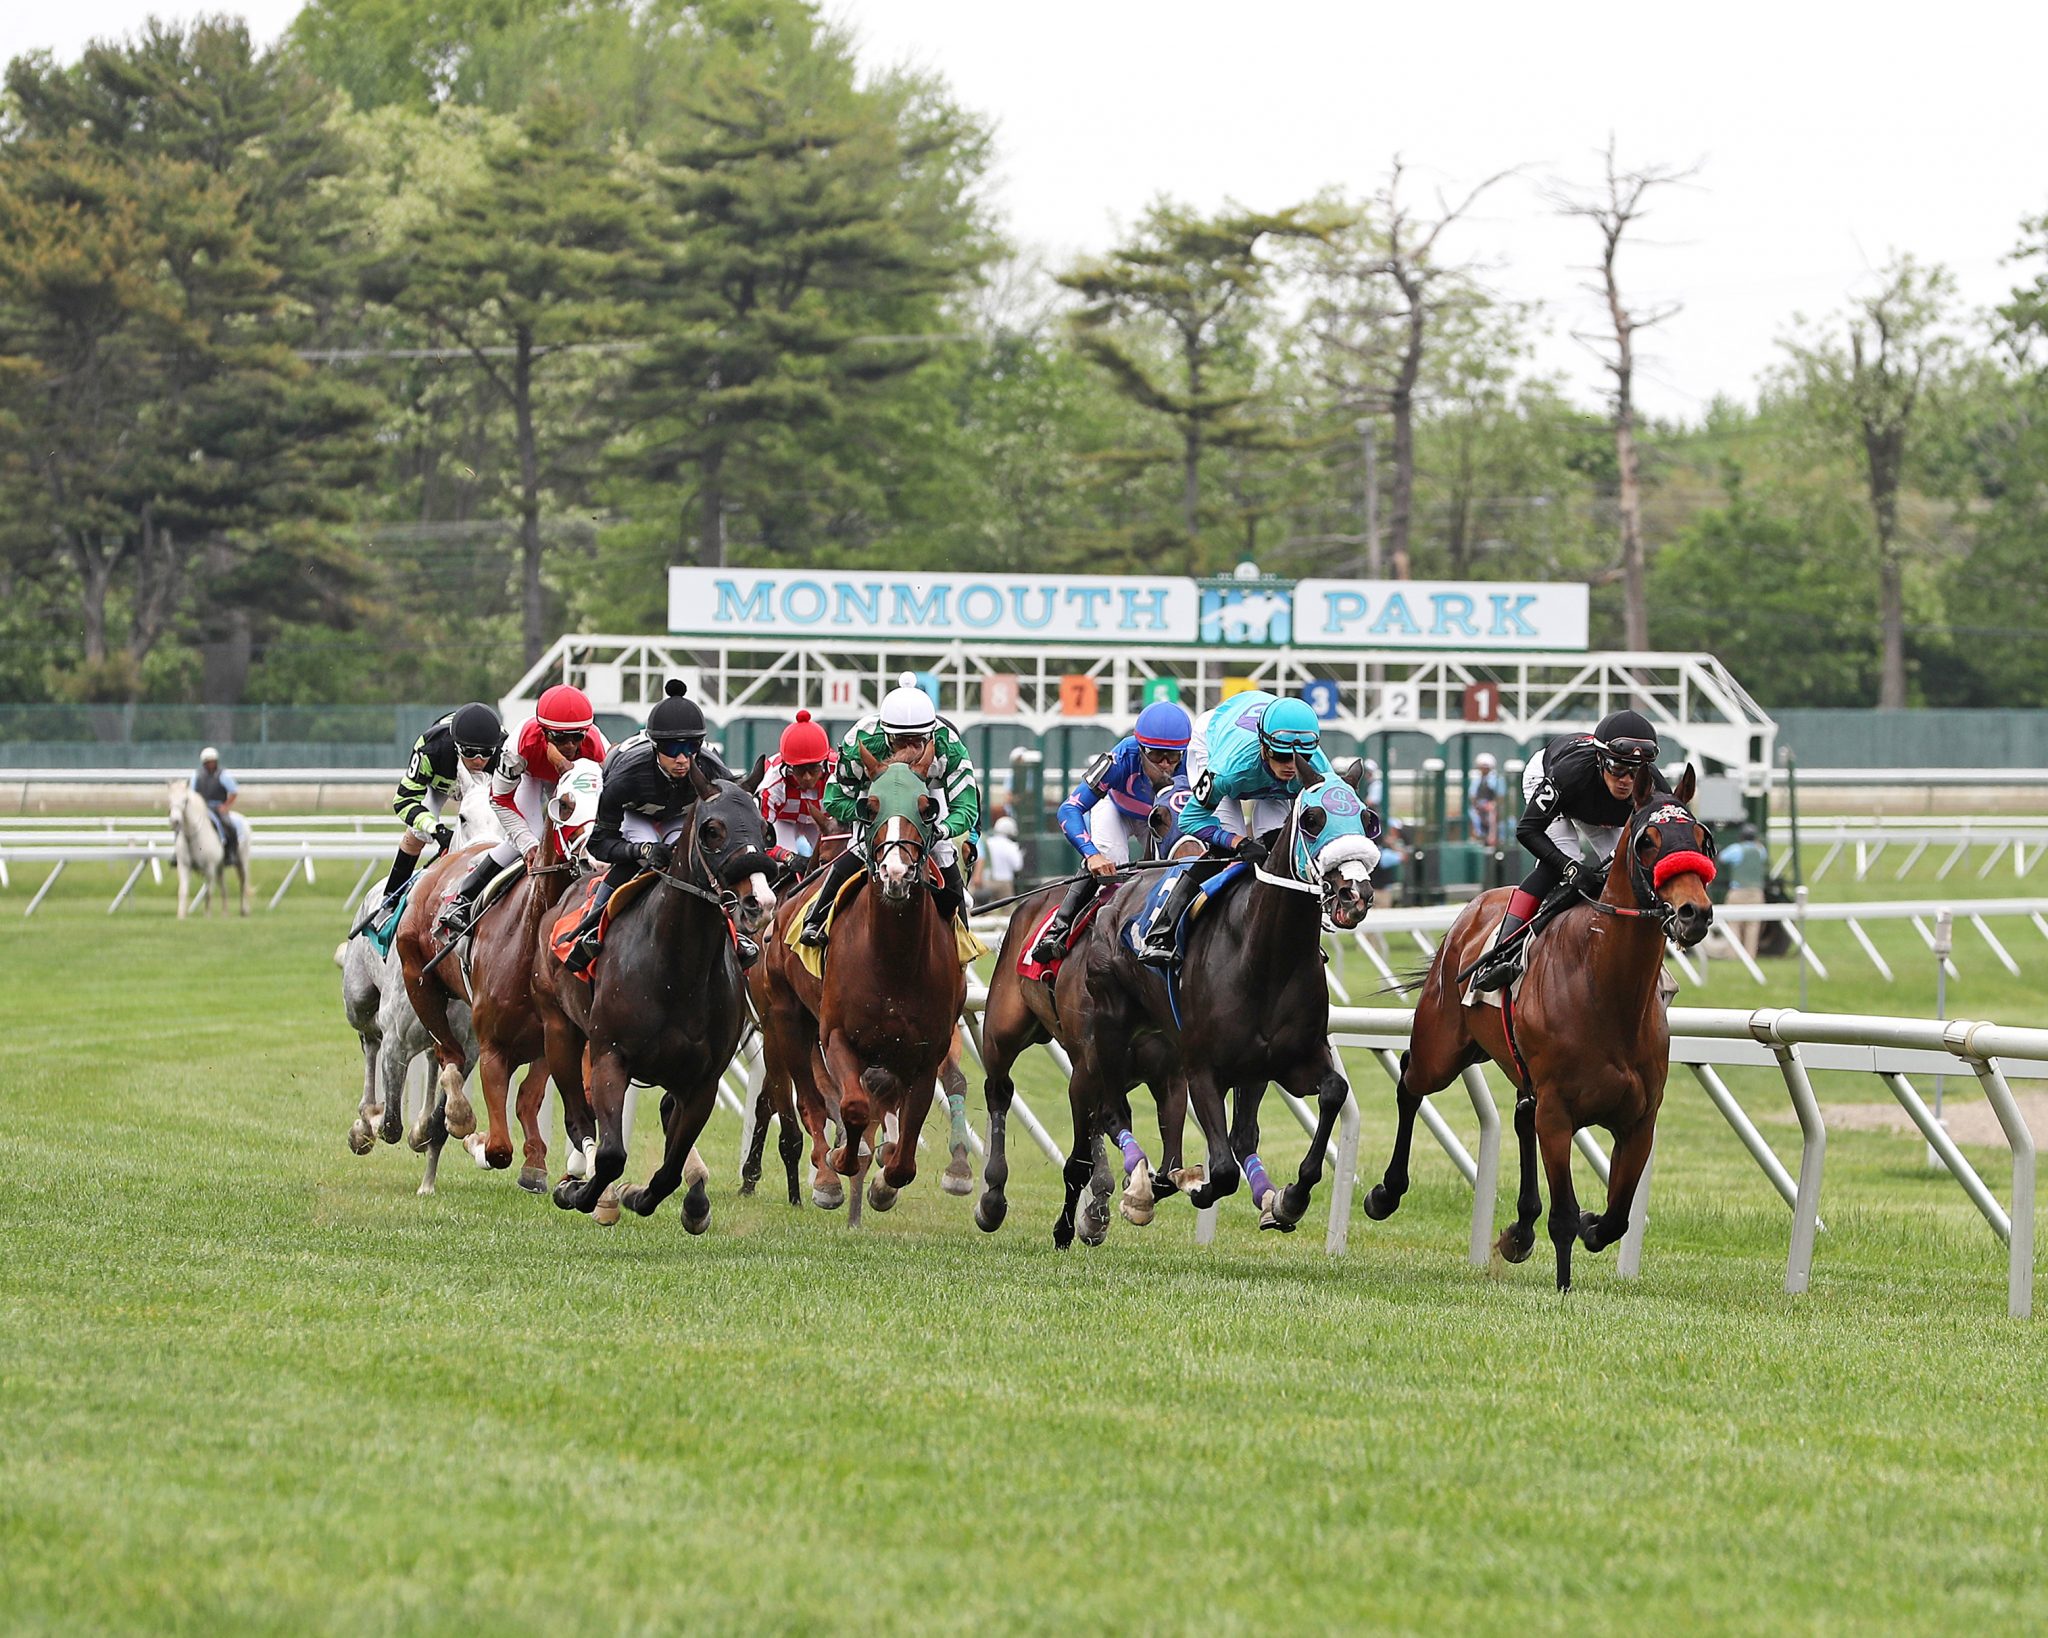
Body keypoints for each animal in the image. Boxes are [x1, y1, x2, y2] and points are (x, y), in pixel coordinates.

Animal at [536, 778, 774, 1228]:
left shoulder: (702, 1082)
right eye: (712, 831)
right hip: (559, 1030)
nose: (761, 903)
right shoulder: (610, 1056)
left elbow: (669, 1170)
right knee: (579, 1116)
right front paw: (588, 1194)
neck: (677, 969)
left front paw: (649, 1197)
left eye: (765, 829)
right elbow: (612, 1154)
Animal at [753, 749, 966, 1220]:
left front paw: (885, 1182)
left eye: (928, 808)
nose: (896, 873)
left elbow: (906, 1146)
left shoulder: (926, 1050)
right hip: (785, 1019)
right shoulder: (835, 1035)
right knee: (809, 1101)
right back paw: (825, 1176)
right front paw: (840, 1163)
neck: (893, 960)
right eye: (870, 806)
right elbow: (850, 1107)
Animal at [1056, 782, 1376, 1253]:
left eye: (1369, 819)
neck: (1267, 955)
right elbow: (1221, 1171)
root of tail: (1120, 890)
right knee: (1112, 1111)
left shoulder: (1291, 1061)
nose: (1357, 894)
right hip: (1110, 1027)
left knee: (1240, 1134)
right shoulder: (1202, 1068)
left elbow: (1334, 1092)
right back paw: (1137, 1191)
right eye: (1313, 819)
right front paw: (1189, 1185)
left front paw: (1289, 1199)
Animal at [1368, 765, 1720, 1294]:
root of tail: (1471, 910)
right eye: (1648, 841)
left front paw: (1580, 1227)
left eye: (1702, 838)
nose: (1693, 913)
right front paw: (1563, 1285)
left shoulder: (1640, 1119)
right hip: (1441, 1049)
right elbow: (1565, 1214)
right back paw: (1386, 1193)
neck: (1606, 989)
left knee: (1519, 1116)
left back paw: (1521, 1227)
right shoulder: (1558, 1113)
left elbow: (1616, 1216)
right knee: (1410, 1083)